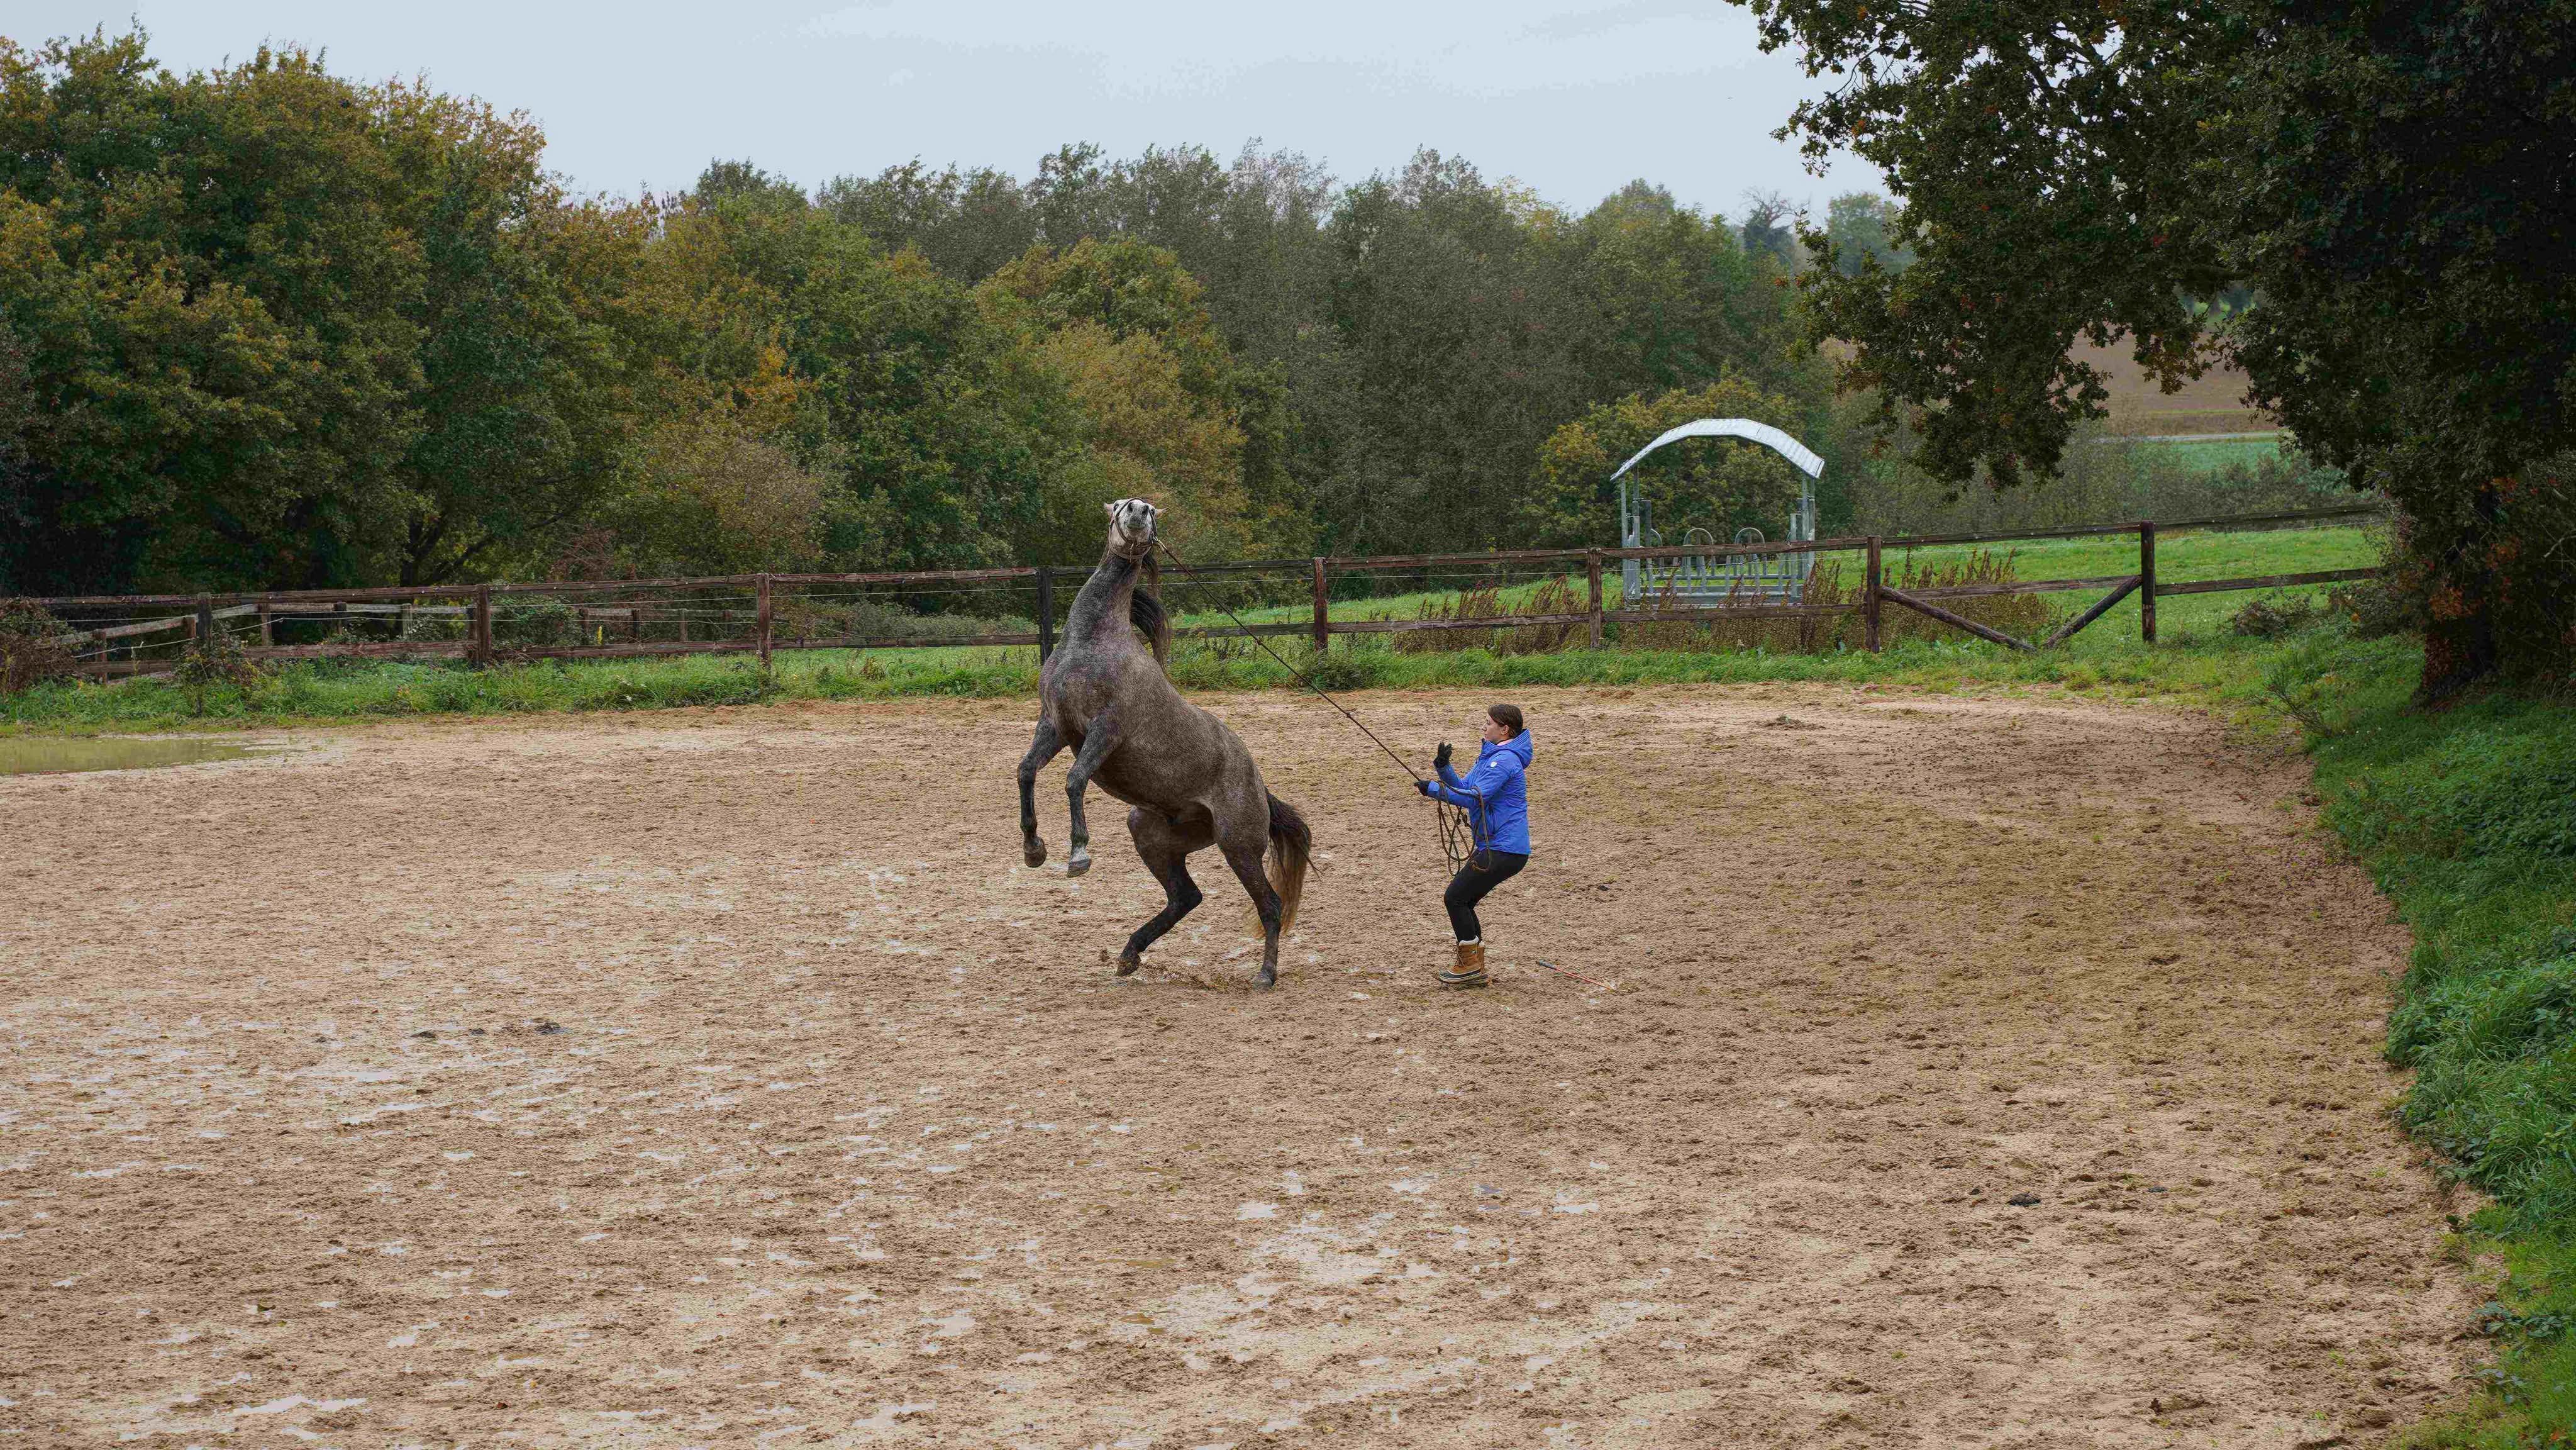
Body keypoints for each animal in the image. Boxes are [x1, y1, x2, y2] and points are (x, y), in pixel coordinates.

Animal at [1016, 498, 1313, 988]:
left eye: (1152, 511)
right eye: (1120, 505)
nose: (1138, 513)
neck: (1093, 643)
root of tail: (1259, 784)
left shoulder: (1106, 730)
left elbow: (1074, 779)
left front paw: (1078, 854)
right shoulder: (1056, 726)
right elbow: (1026, 772)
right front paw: (1033, 849)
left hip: (1238, 844)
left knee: (1269, 905)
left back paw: (1265, 974)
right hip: (1151, 833)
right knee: (1185, 898)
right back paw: (1128, 955)